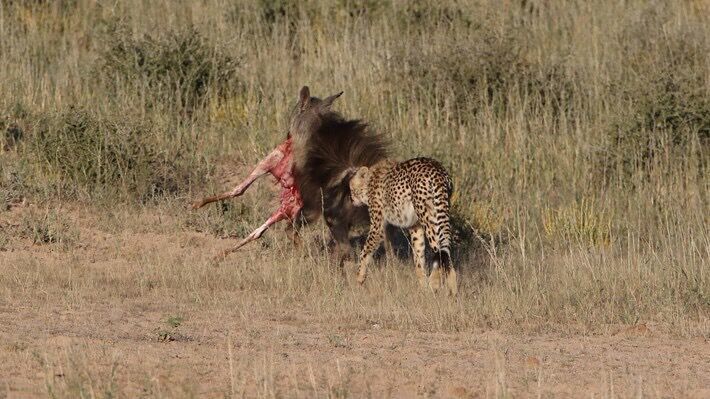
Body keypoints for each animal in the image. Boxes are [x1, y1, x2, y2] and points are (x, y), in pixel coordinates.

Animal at [348, 158, 458, 296]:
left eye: (351, 188)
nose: (351, 199)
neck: (370, 181)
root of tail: (437, 169)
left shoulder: (377, 228)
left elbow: (364, 252)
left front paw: (358, 279)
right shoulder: (415, 226)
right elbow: (418, 258)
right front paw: (423, 288)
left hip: (430, 218)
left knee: (439, 250)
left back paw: (438, 284)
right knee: (445, 252)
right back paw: (450, 290)